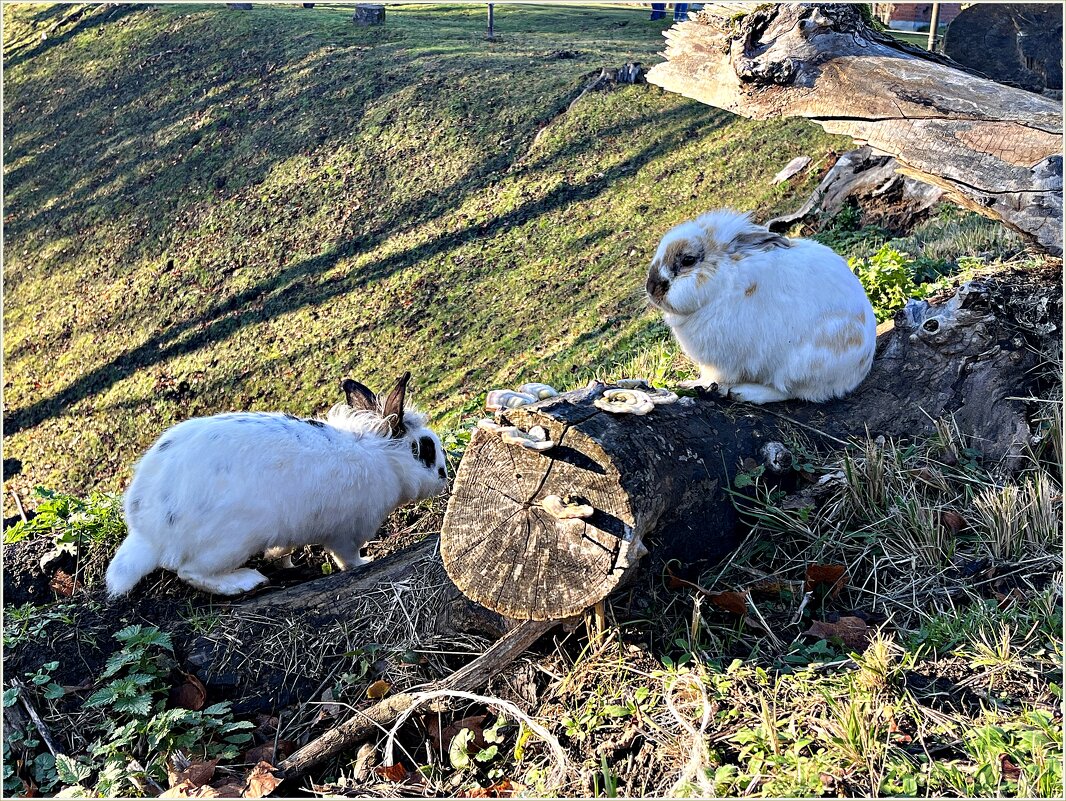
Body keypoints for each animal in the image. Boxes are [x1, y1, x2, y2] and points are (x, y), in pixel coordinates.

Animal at [103, 373, 445, 597]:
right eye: (425, 449)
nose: (444, 476)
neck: (383, 456)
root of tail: (148, 533)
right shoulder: (348, 533)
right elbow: (346, 558)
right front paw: (367, 561)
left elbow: (284, 548)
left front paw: (284, 560)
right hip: (232, 541)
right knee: (191, 573)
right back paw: (246, 581)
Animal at [643, 210, 878, 403]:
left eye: (688, 260)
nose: (651, 287)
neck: (723, 281)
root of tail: (860, 369)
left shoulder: (724, 363)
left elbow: (714, 377)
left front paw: (697, 385)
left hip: (799, 366)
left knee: (790, 392)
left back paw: (743, 392)